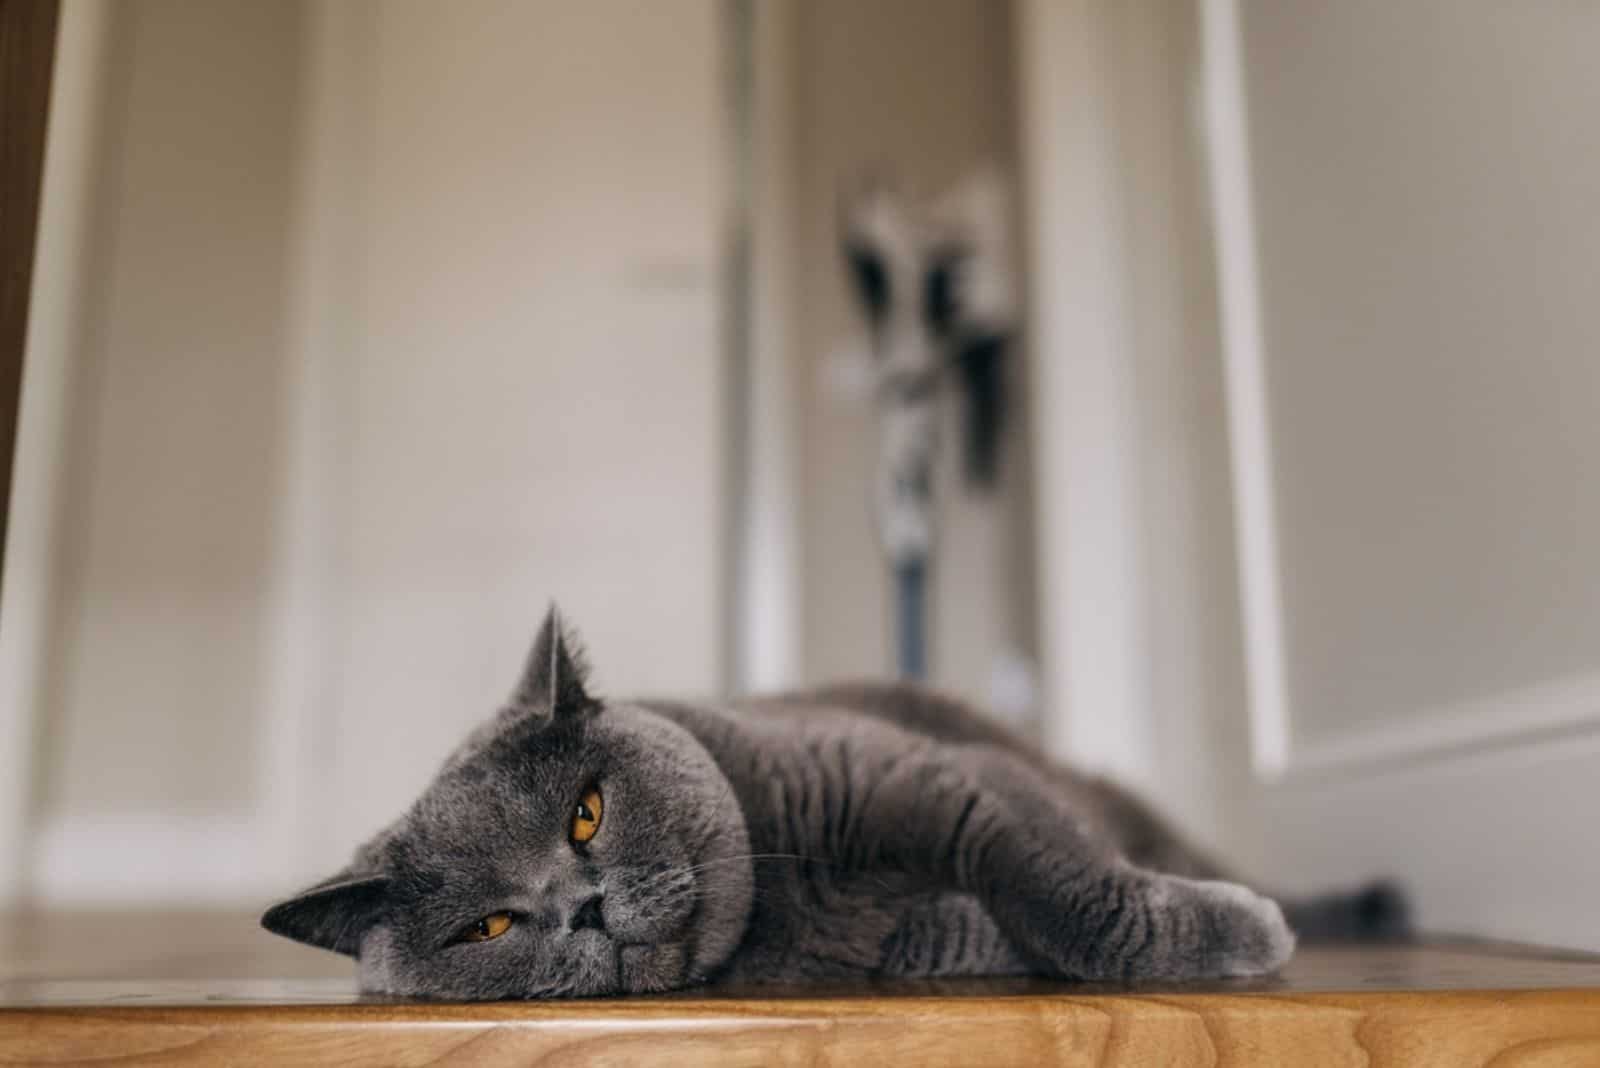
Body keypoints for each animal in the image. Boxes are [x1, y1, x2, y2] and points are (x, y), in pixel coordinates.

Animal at [265, 607, 1414, 1004]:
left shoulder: (947, 783)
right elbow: (1012, 928)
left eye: (585, 814)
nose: (580, 908)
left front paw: (1245, 934)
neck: (789, 894)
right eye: (489, 928)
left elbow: (1074, 899)